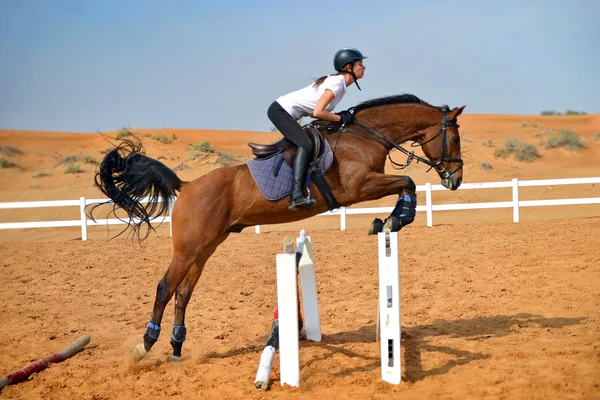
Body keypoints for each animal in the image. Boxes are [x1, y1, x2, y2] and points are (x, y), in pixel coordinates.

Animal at [89, 94, 466, 362]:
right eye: (455, 140)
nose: (456, 179)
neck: (364, 136)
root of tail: (188, 185)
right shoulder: (359, 187)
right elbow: (408, 181)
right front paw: (396, 218)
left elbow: (406, 185)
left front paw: (392, 218)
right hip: (189, 247)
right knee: (166, 287)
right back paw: (147, 343)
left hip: (207, 246)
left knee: (183, 292)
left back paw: (177, 346)